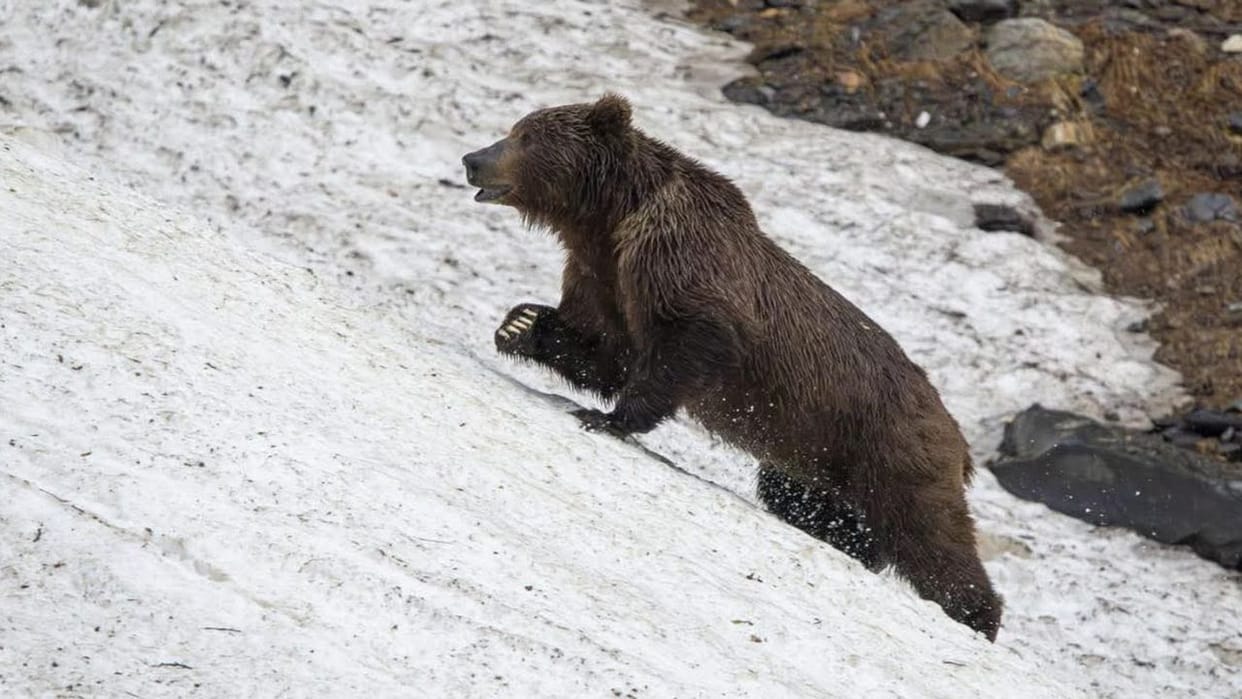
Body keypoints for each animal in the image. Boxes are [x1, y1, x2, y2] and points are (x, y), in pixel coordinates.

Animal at [462, 93, 1003, 641]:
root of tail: (959, 439)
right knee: (816, 505)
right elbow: (605, 353)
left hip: (891, 447)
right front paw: (520, 324)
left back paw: (977, 616)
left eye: (527, 136)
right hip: (817, 454)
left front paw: (607, 418)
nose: (472, 159)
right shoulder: (603, 277)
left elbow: (688, 343)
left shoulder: (681, 263)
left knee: (929, 534)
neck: (608, 219)